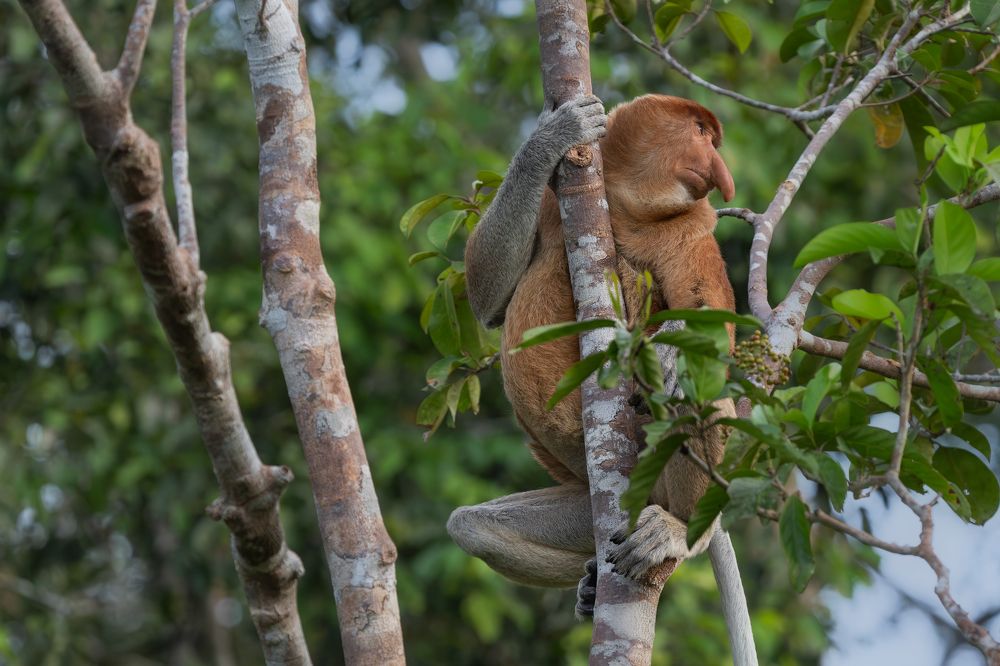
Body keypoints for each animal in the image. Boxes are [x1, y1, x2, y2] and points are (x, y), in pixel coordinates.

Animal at [447, 94, 756, 664]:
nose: (721, 173)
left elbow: (712, 324)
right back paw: (592, 581)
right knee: (473, 528)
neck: (624, 203)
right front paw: (555, 132)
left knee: (698, 393)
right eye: (700, 131)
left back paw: (677, 533)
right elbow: (487, 294)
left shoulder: (690, 228)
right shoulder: (554, 204)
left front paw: (670, 347)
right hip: (592, 501)